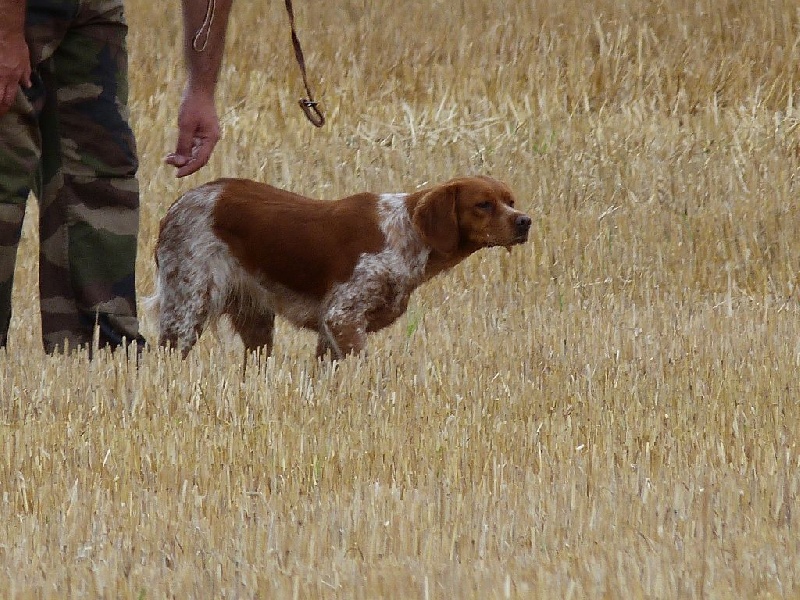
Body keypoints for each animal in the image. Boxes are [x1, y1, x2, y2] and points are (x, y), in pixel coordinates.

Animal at [147, 176, 531, 359]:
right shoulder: (342, 317)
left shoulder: (331, 330)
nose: (525, 221)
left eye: (510, 201)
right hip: (187, 306)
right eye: (483, 204)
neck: (405, 233)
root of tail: (176, 206)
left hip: (255, 318)